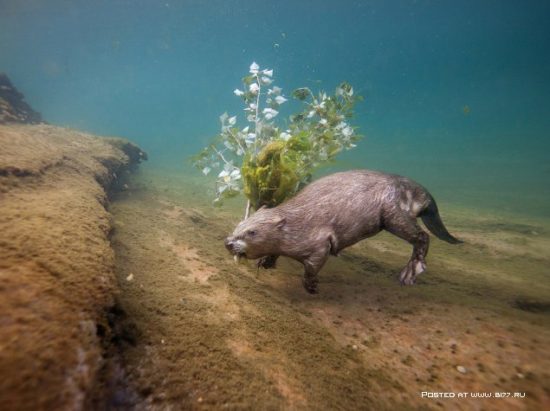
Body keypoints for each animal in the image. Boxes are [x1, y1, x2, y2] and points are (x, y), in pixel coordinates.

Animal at [224, 170, 462, 292]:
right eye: (238, 226)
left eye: (251, 232)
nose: (228, 243)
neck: (296, 220)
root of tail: (423, 194)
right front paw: (265, 262)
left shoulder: (318, 240)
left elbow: (313, 264)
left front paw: (312, 286)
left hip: (392, 213)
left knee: (422, 236)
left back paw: (410, 273)